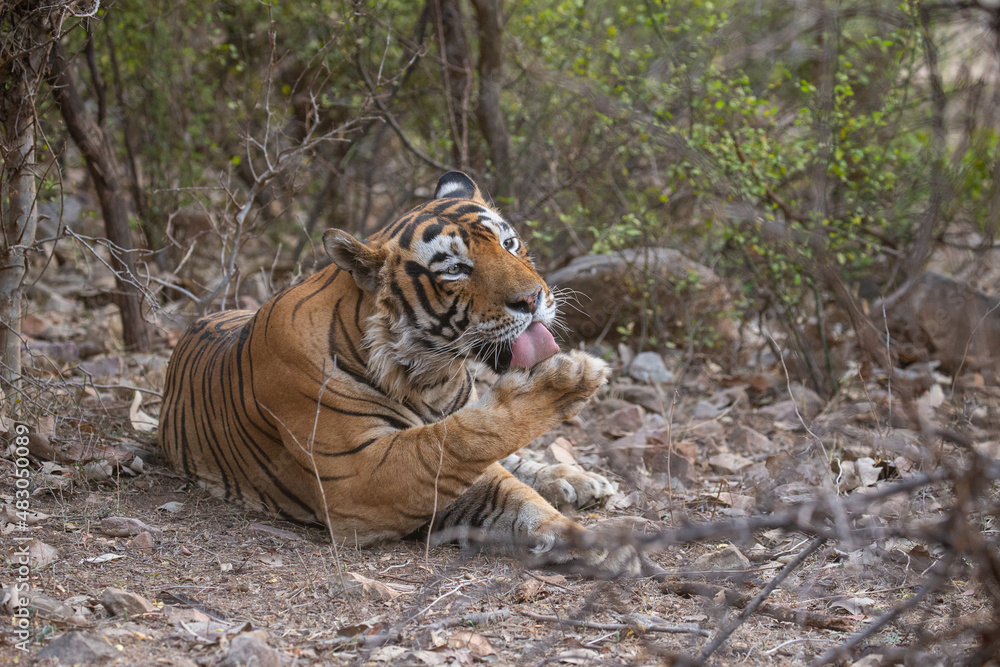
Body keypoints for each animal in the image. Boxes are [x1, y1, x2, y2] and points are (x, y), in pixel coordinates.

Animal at [159, 171, 647, 575]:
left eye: (509, 244)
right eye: (455, 269)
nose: (532, 299)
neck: (434, 375)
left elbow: (512, 488)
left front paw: (598, 542)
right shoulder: (361, 476)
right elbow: (458, 439)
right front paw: (565, 380)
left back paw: (579, 479)